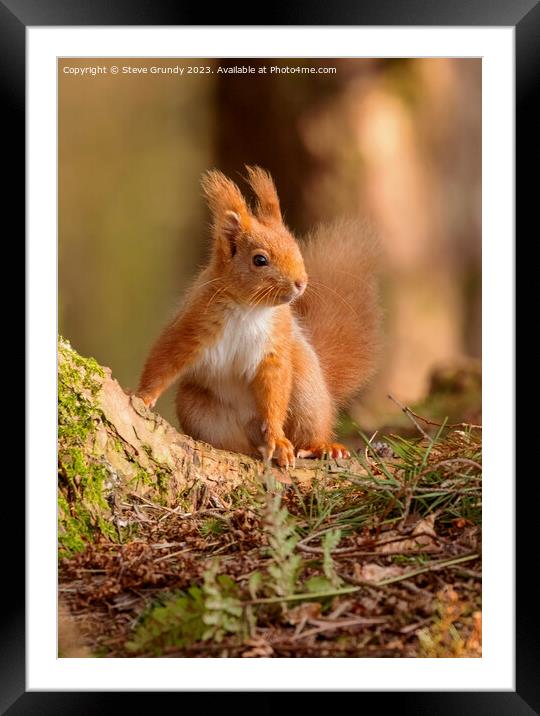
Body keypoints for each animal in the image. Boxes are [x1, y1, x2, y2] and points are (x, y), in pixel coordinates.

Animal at [138, 165, 380, 468]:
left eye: (296, 248)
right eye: (260, 260)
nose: (300, 283)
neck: (248, 308)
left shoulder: (275, 345)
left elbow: (274, 392)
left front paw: (277, 437)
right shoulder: (192, 325)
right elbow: (164, 360)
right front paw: (142, 396)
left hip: (306, 392)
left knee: (307, 428)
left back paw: (320, 446)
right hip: (199, 409)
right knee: (234, 443)